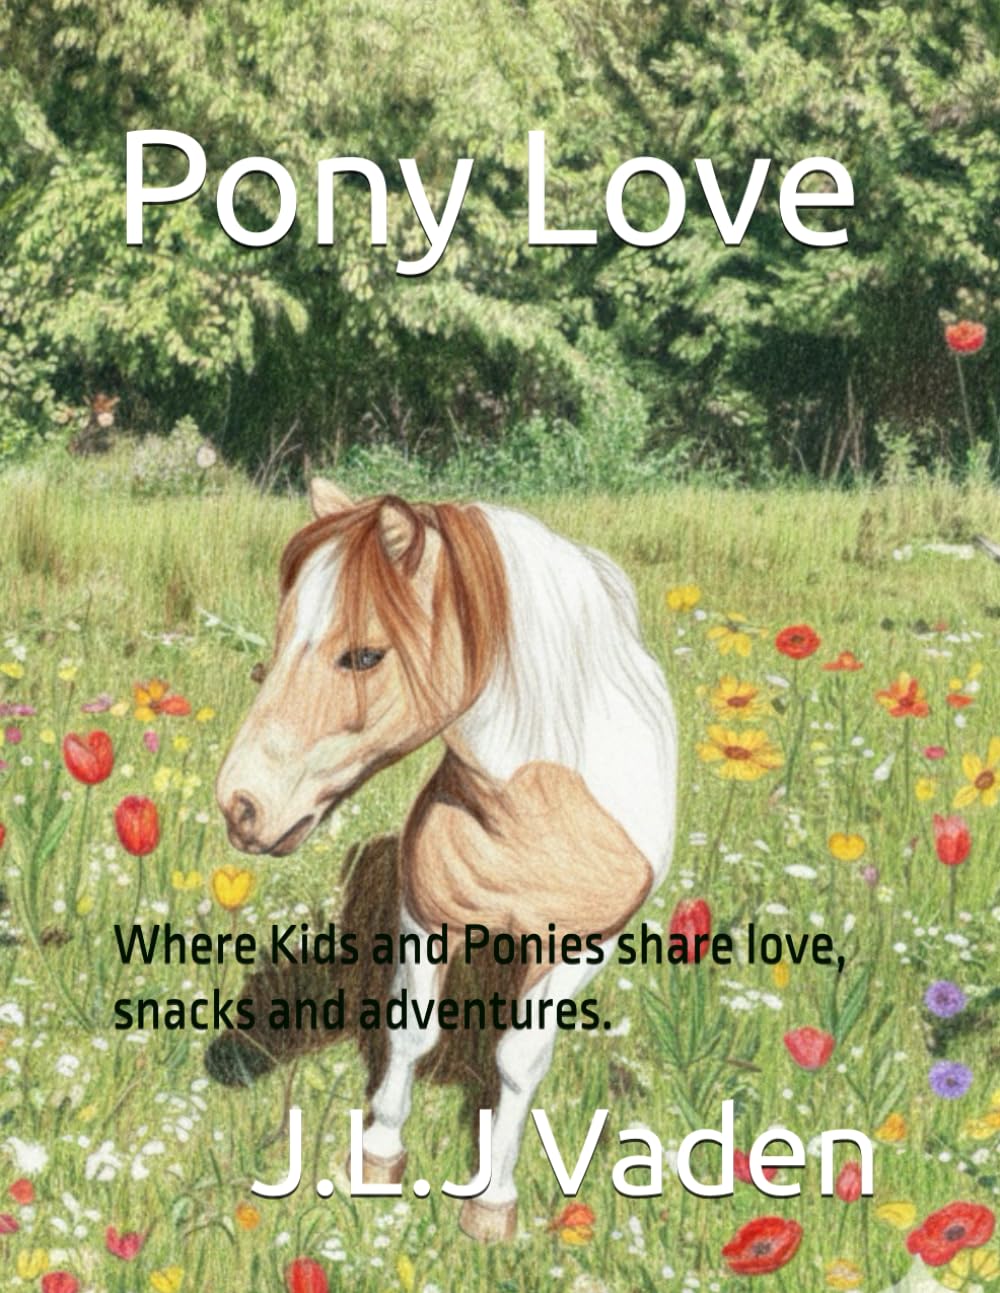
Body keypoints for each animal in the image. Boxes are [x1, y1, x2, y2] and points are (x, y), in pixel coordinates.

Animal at [216, 479, 678, 1241]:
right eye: (278, 645)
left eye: (364, 656)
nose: (240, 805)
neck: (526, 810)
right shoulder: (424, 917)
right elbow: (409, 1030)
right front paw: (378, 1155)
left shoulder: (582, 947)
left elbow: (520, 1060)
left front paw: (492, 1204)